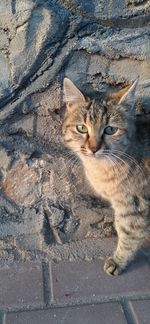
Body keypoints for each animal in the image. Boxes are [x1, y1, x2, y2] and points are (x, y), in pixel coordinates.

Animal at [62, 77, 150, 274]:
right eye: (81, 128)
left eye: (110, 130)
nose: (93, 148)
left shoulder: (134, 204)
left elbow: (129, 233)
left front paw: (119, 260)